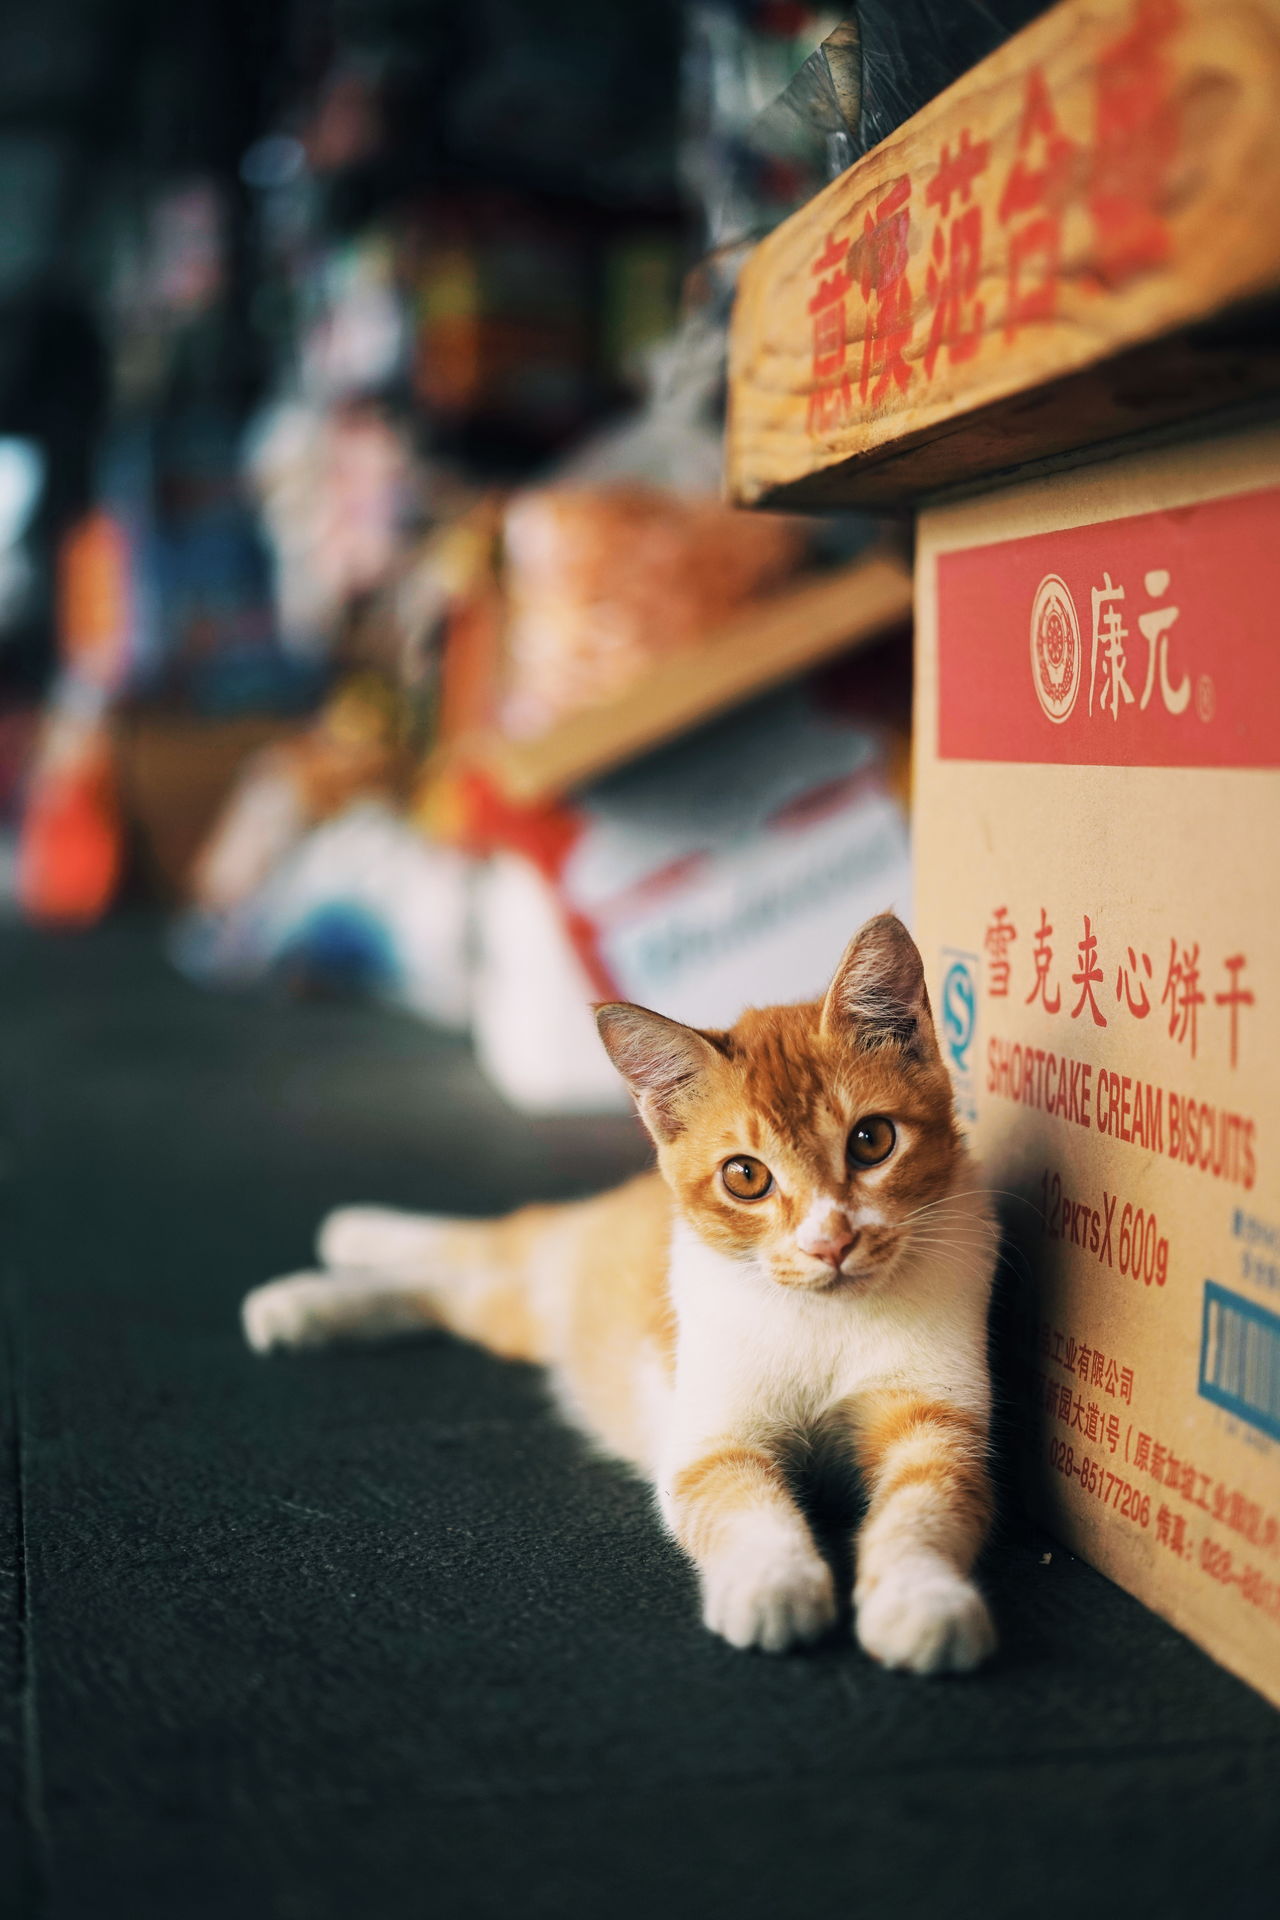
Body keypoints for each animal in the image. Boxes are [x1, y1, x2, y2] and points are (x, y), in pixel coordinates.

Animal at [239, 910, 997, 1666]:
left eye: (871, 1140)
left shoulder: (940, 1420)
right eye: (745, 1176)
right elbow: (741, 1504)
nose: (828, 1242)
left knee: (462, 1287)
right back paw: (338, 1248)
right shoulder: (709, 1437)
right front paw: (772, 1582)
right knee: (503, 1235)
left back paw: (317, 1295)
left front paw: (922, 1598)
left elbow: (927, 1504)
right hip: (557, 1266)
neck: (824, 1320)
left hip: (529, 1312)